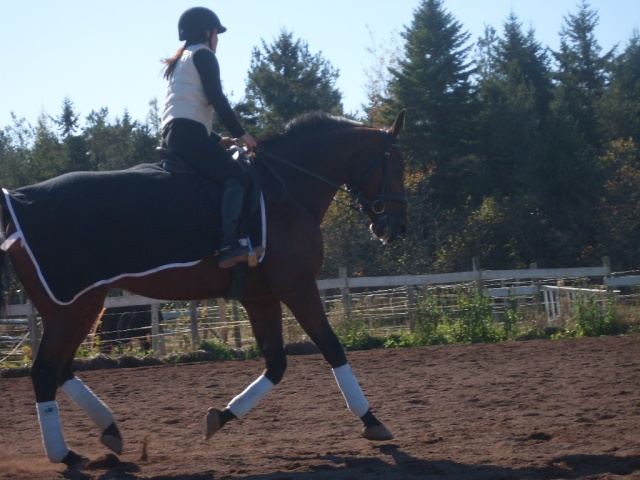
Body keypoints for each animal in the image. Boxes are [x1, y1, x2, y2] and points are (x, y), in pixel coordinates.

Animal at [0, 109, 408, 468]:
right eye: (399, 164)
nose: (397, 228)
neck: (286, 192)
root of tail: (15, 203)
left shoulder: (261, 298)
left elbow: (276, 364)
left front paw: (221, 417)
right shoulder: (298, 288)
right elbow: (332, 348)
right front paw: (372, 421)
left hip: (83, 306)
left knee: (61, 368)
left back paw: (109, 430)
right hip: (70, 309)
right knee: (45, 371)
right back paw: (65, 454)